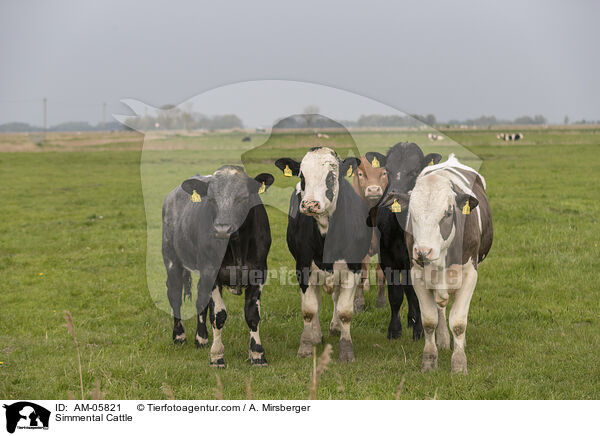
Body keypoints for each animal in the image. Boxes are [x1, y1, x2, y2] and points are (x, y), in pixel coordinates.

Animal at [162, 165, 274, 366]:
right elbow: (218, 315)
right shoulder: (210, 271)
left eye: (243, 198)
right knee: (174, 295)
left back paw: (201, 338)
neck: (237, 245)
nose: (222, 229)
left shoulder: (259, 272)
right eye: (212, 199)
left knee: (201, 301)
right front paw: (217, 356)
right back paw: (179, 336)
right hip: (172, 259)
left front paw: (257, 354)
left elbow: (252, 315)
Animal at [276, 146, 370, 362]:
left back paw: (335, 327)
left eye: (331, 177)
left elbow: (345, 311)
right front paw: (306, 345)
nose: (310, 204)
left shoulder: (352, 269)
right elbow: (309, 310)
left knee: (336, 298)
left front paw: (346, 350)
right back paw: (316, 334)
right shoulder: (303, 267)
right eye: (302, 176)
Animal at [376, 143, 440, 340]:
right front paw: (394, 330)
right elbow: (396, 295)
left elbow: (416, 296)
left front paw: (420, 330)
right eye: (387, 170)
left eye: (415, 171)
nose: (394, 197)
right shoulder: (387, 259)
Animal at [396, 154, 490, 374]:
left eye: (447, 213)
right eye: (412, 214)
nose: (423, 251)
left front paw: (459, 363)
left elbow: (459, 322)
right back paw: (443, 340)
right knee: (440, 309)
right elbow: (429, 320)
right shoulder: (417, 275)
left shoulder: (470, 274)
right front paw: (429, 361)